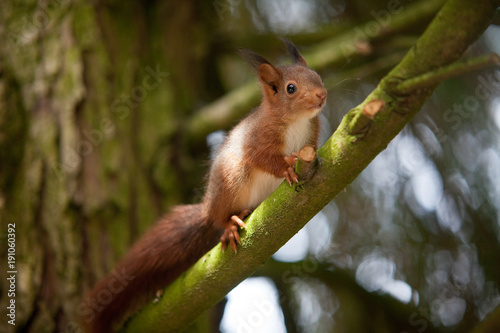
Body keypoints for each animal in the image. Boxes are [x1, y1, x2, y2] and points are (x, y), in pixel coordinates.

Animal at [83, 39, 328, 332]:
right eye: (291, 88)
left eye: (317, 75)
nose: (322, 95)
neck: (296, 121)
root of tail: (208, 208)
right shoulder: (257, 139)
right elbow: (264, 158)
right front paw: (287, 167)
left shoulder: (311, 136)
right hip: (231, 180)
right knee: (222, 217)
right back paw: (231, 223)